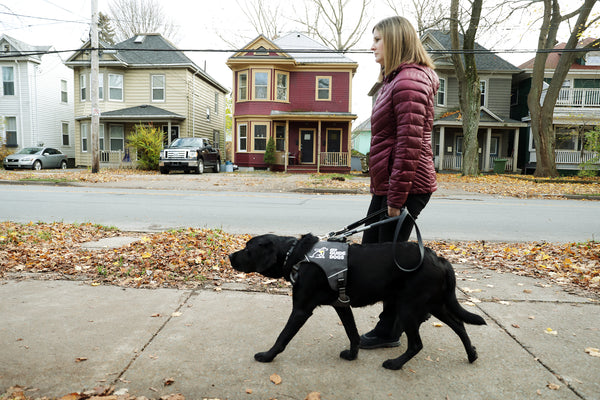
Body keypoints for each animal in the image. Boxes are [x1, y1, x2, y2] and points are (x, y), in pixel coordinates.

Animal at [227, 233, 486, 370]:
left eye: (248, 248)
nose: (229, 256)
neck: (297, 256)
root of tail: (439, 258)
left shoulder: (301, 309)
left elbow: (282, 337)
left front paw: (267, 356)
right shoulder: (342, 305)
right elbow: (352, 334)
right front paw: (353, 355)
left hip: (408, 307)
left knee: (417, 344)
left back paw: (395, 364)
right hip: (435, 303)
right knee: (459, 324)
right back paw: (472, 354)